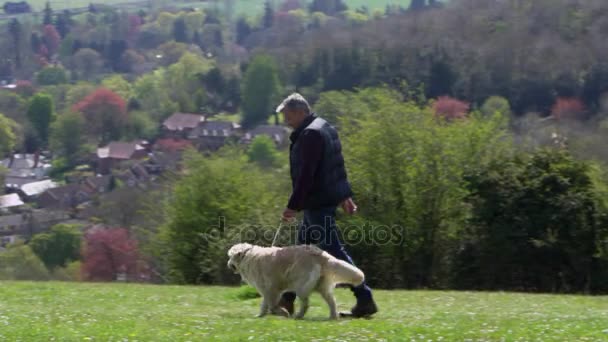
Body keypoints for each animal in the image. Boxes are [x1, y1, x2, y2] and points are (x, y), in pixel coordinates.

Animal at [227, 242, 360, 320]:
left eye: (230, 257)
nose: (228, 264)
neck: (247, 256)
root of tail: (321, 255)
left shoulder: (271, 289)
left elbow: (271, 305)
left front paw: (282, 312)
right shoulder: (267, 290)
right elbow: (264, 305)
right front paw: (260, 315)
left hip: (301, 286)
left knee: (306, 303)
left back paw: (298, 316)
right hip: (322, 288)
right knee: (332, 302)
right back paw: (332, 316)